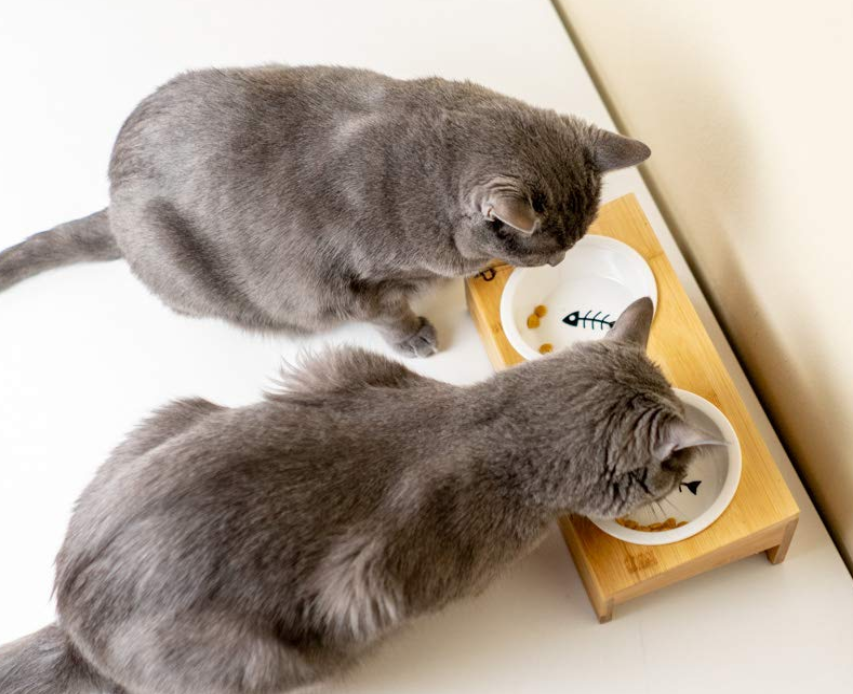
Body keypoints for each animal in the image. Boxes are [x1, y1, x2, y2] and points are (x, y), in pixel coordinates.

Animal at [0, 65, 648, 356]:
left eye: (575, 241)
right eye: (550, 249)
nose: (561, 259)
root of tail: (112, 197)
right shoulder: (353, 281)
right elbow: (386, 311)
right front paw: (416, 335)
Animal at [0, 300, 720, 694]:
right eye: (674, 468)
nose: (682, 476)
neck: (493, 422)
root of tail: (73, 623)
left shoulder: (350, 367)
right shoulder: (383, 582)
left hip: (171, 415)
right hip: (257, 656)